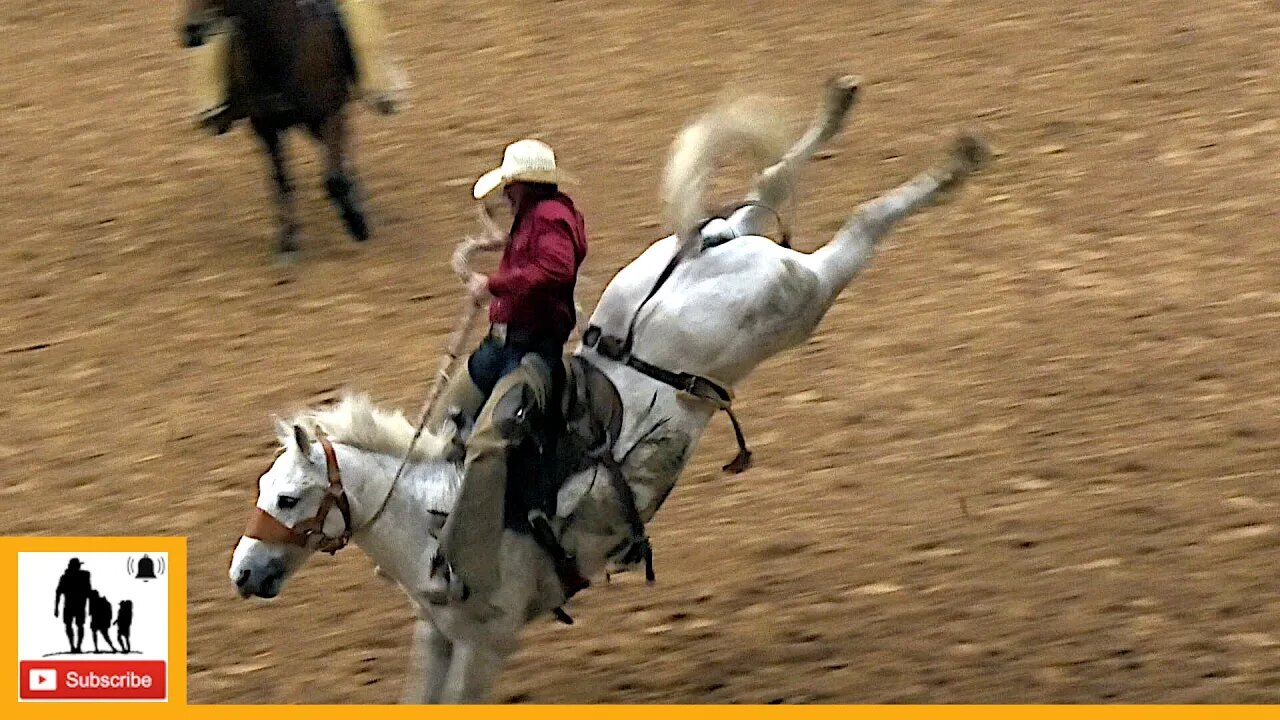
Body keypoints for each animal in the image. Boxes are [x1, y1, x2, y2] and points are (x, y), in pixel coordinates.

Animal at [183, 0, 371, 256]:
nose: (190, 31)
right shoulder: (265, 129)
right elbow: (282, 182)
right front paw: (287, 242)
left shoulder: (329, 114)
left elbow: (334, 179)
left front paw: (357, 223)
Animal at [227, 75, 988, 696]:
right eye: (263, 491)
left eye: (288, 498)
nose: (242, 574)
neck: (428, 512)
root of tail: (698, 254)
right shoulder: (436, 636)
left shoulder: (484, 645)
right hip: (711, 257)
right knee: (764, 187)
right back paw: (844, 107)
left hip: (800, 297)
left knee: (857, 226)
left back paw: (955, 164)